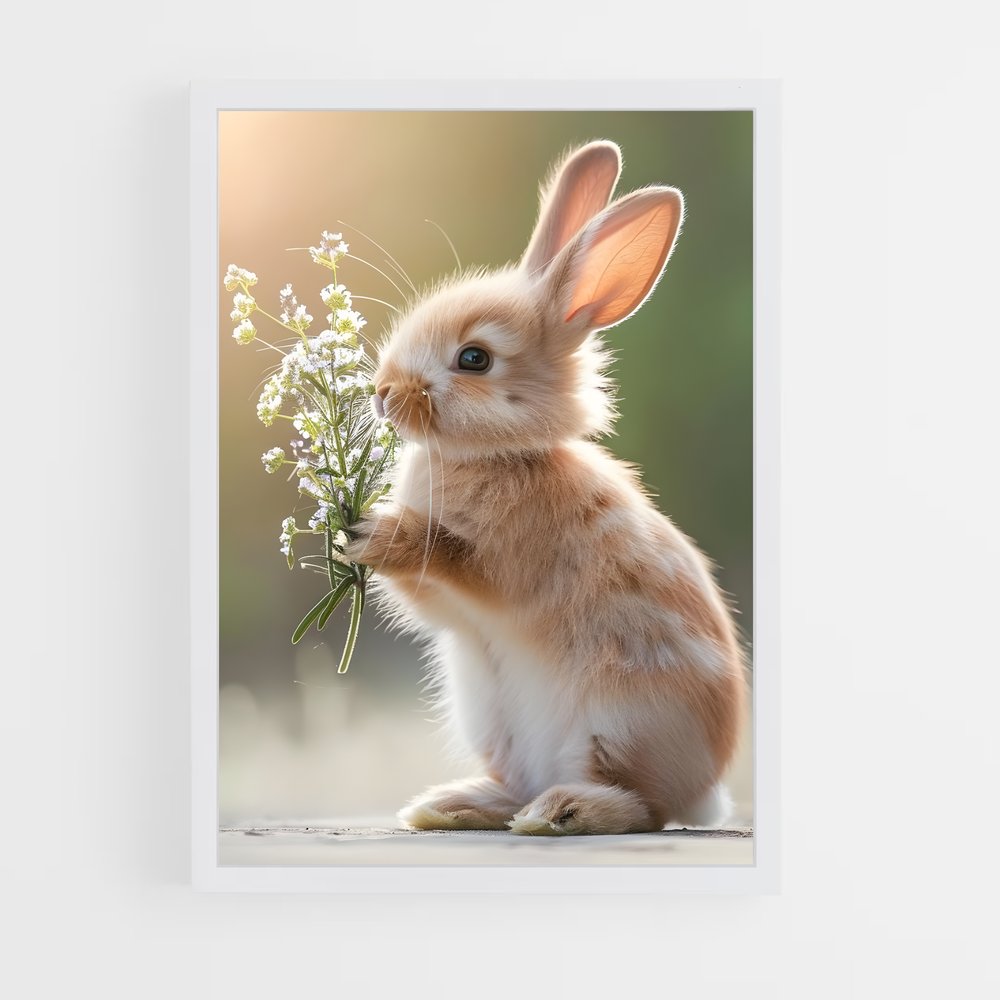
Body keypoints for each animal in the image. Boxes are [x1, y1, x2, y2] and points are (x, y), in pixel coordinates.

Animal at [345, 139, 747, 835]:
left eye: (474, 359)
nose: (384, 393)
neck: (500, 456)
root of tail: (707, 795)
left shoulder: (509, 565)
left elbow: (463, 564)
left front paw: (380, 532)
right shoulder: (449, 614)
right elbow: (430, 604)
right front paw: (355, 535)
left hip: (616, 720)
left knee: (640, 805)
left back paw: (560, 812)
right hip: (490, 716)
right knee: (522, 787)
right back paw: (450, 806)